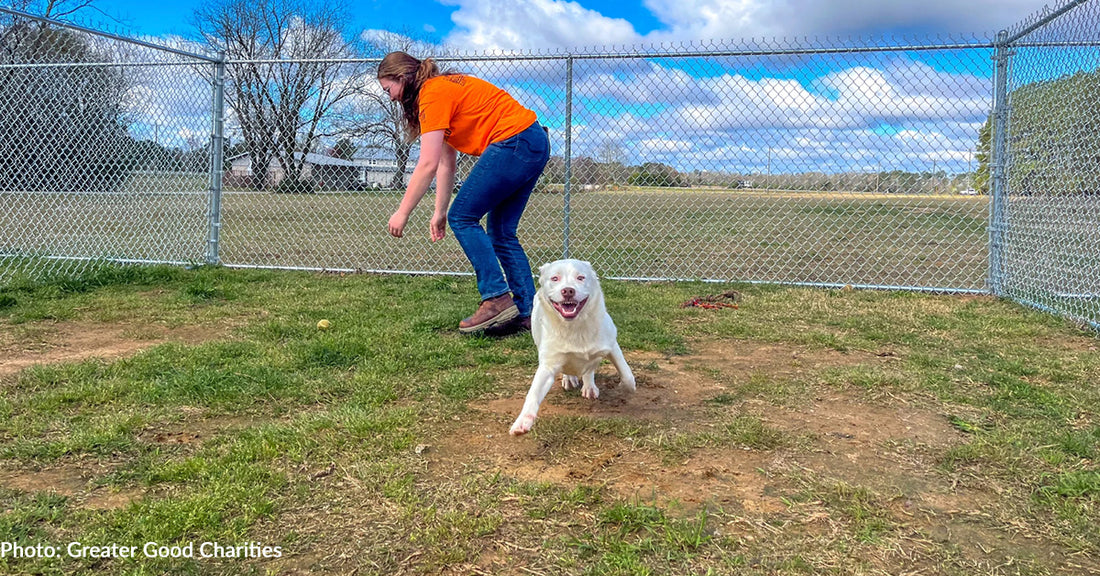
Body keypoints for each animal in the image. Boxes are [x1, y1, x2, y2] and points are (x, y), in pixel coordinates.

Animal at [508, 258, 638, 435]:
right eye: (555, 278)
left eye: (581, 277)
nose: (568, 291)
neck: (575, 327)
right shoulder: (548, 365)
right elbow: (533, 394)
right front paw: (523, 421)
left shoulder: (611, 346)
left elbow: (627, 376)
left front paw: (624, 388)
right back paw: (570, 378)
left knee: (590, 369)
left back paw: (589, 386)